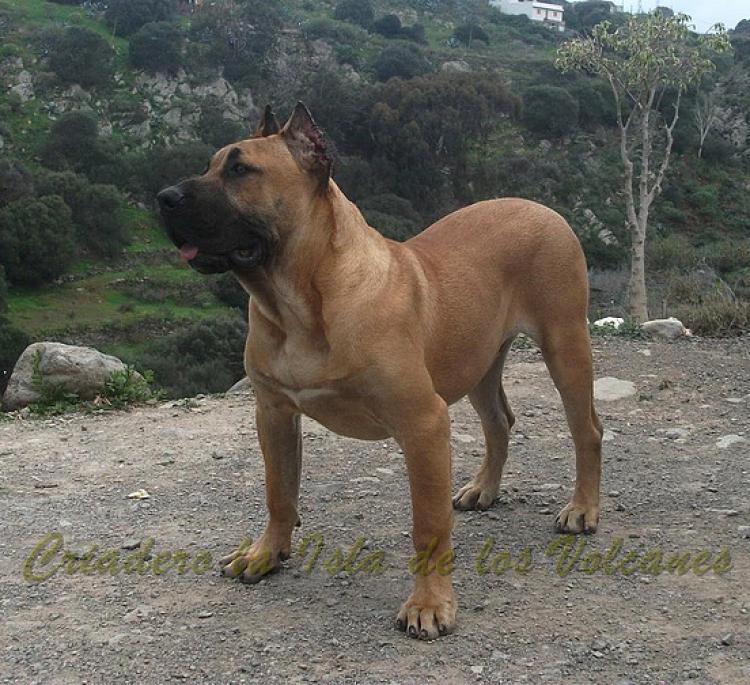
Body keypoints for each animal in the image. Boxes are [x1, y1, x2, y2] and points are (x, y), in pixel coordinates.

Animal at [159, 104, 604, 640]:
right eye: (210, 165)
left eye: (240, 170)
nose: (163, 198)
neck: (298, 303)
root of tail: (540, 207)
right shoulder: (273, 412)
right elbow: (278, 491)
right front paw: (265, 553)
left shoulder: (423, 422)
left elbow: (428, 525)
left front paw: (429, 604)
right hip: (476, 361)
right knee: (500, 422)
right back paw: (484, 489)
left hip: (565, 347)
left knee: (587, 430)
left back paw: (582, 509)